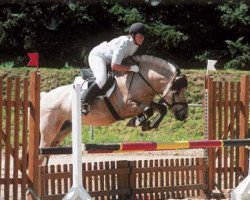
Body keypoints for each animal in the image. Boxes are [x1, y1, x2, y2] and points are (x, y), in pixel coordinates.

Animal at [39, 55, 188, 164]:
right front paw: (138, 122)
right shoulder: (125, 107)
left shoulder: (147, 102)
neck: (139, 81)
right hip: (49, 130)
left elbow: (160, 108)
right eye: (176, 91)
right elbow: (148, 110)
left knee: (47, 154)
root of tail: (45, 96)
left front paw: (148, 124)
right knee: (41, 153)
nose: (184, 115)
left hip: (63, 130)